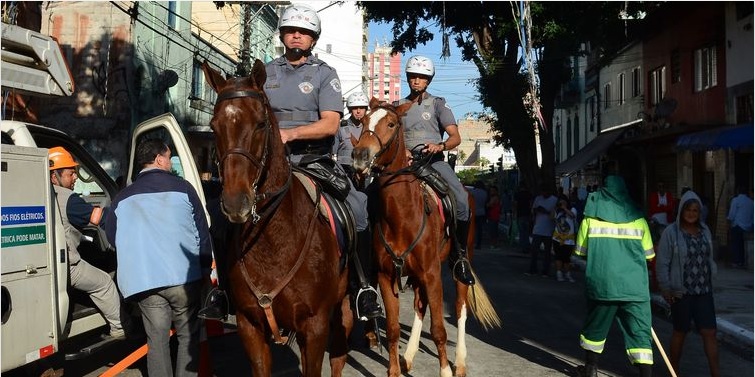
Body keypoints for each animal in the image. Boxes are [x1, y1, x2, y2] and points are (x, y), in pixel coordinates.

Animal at [201, 60, 354, 374]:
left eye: (261, 123)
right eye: (214, 126)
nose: (236, 202)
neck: (273, 241)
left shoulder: (315, 328)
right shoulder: (250, 326)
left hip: (342, 309)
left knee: (339, 356)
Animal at [352, 98, 502, 374]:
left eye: (391, 124)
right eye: (365, 120)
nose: (360, 156)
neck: (402, 217)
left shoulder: (432, 274)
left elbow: (439, 330)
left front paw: (445, 370)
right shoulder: (387, 276)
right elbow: (392, 329)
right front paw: (394, 370)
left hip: (458, 265)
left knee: (460, 308)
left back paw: (460, 362)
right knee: (419, 306)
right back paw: (409, 355)